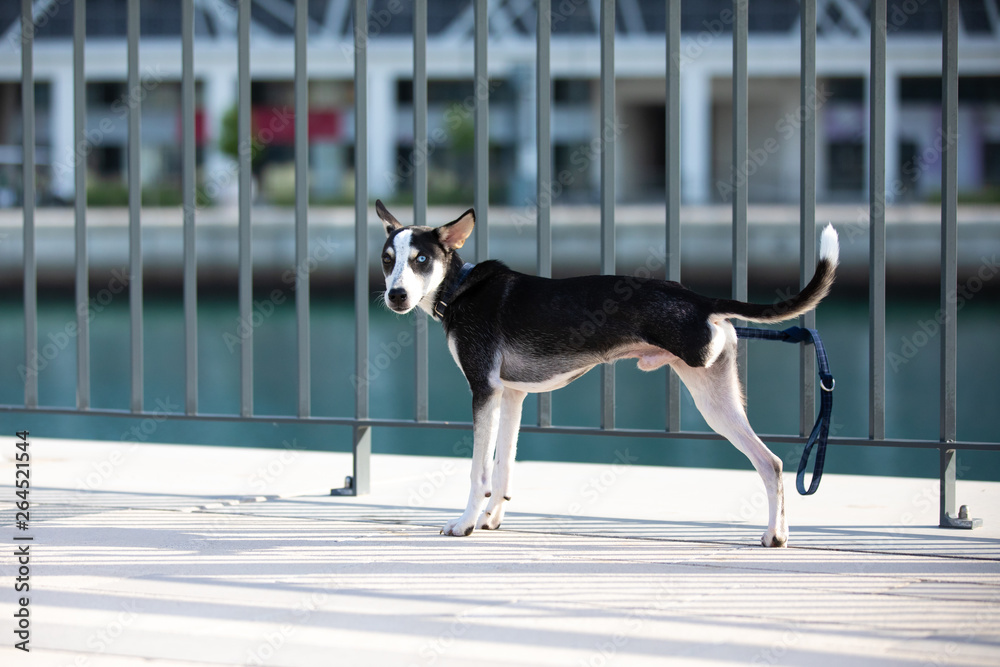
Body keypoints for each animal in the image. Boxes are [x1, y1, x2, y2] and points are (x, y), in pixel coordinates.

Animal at [376, 200, 836, 548]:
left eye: (421, 259)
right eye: (387, 260)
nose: (395, 295)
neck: (460, 290)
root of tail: (702, 300)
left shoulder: (483, 391)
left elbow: (479, 472)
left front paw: (466, 524)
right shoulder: (510, 395)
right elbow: (504, 466)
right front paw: (491, 518)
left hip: (709, 400)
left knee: (767, 462)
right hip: (718, 401)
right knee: (772, 463)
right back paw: (776, 535)